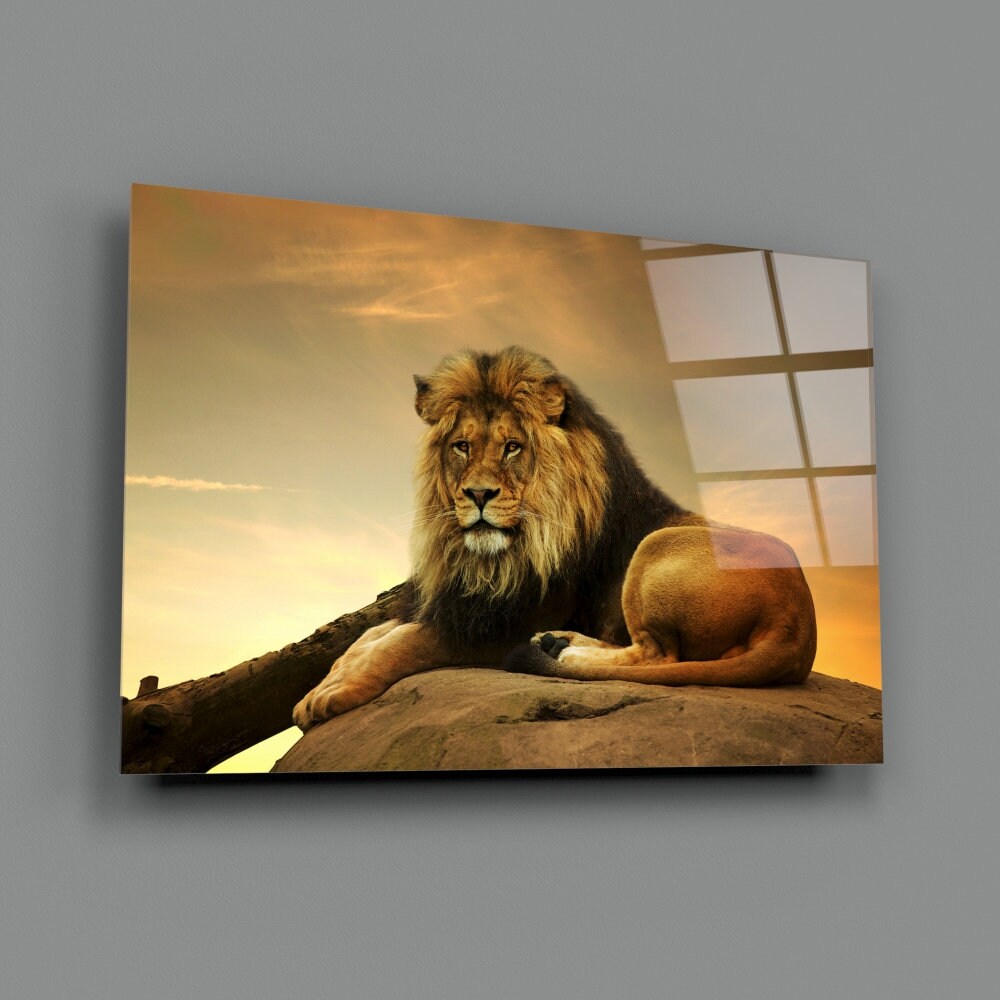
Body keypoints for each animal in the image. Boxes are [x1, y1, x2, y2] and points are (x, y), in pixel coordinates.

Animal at [292, 346, 816, 731]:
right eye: (461, 446)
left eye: (512, 447)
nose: (478, 494)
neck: (490, 558)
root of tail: (798, 626)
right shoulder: (454, 602)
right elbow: (369, 637)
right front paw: (323, 684)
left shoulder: (495, 625)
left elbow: (403, 644)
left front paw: (334, 693)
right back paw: (557, 643)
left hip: (658, 545)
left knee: (657, 655)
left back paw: (562, 649)